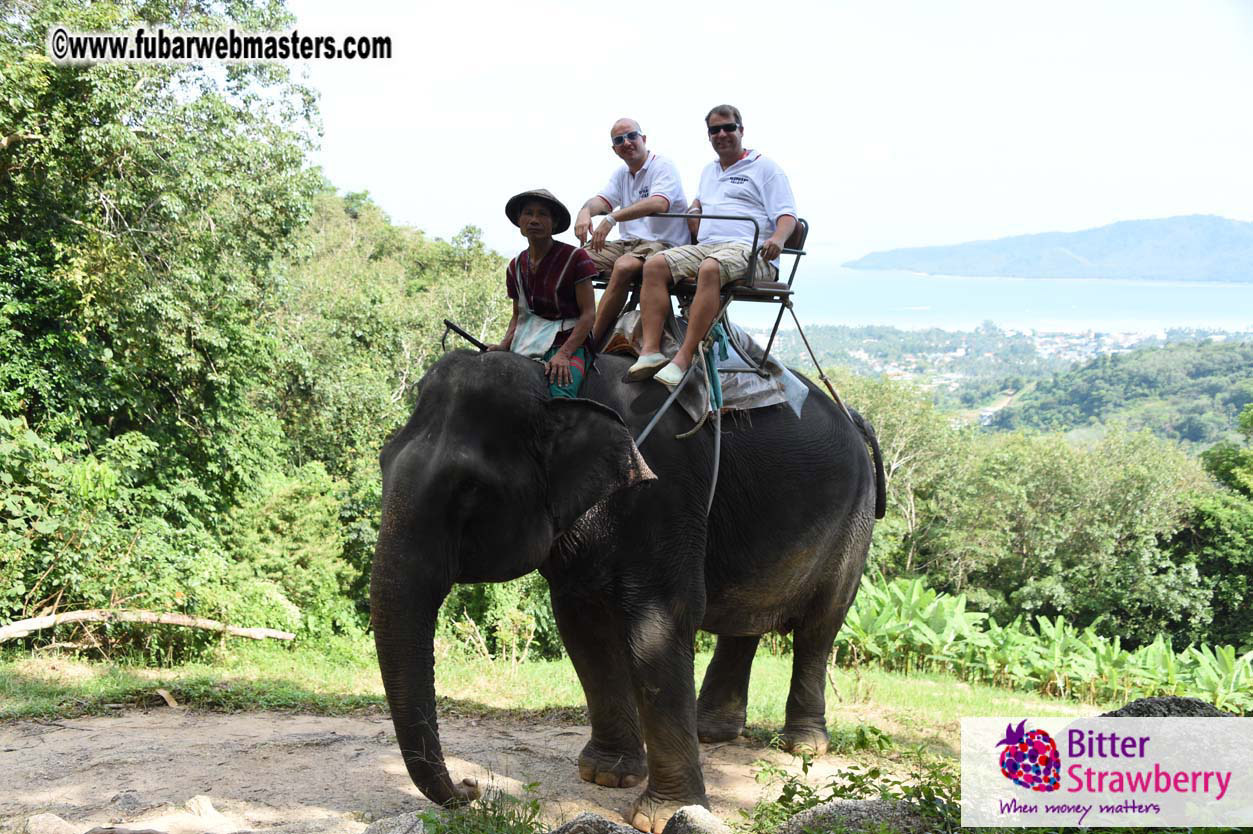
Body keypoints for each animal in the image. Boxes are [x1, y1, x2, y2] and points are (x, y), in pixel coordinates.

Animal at [370, 348, 885, 833]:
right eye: (382, 460)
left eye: (470, 489)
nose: (471, 785)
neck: (558, 387)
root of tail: (856, 416)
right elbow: (583, 627)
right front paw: (607, 776)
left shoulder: (666, 493)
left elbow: (660, 622)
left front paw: (663, 814)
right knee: (744, 622)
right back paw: (711, 732)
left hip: (854, 524)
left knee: (821, 625)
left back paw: (802, 745)